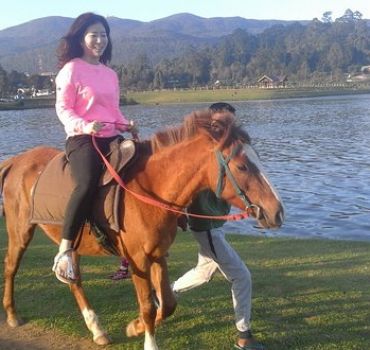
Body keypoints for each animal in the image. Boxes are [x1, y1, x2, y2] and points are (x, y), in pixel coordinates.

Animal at [0, 109, 284, 350]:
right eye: (242, 166)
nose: (277, 212)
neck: (151, 188)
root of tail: (16, 160)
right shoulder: (137, 259)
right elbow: (148, 305)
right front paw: (147, 339)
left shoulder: (158, 255)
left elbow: (167, 303)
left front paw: (134, 326)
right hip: (20, 231)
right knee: (12, 266)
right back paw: (13, 314)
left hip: (72, 243)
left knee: (75, 280)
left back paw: (97, 329)